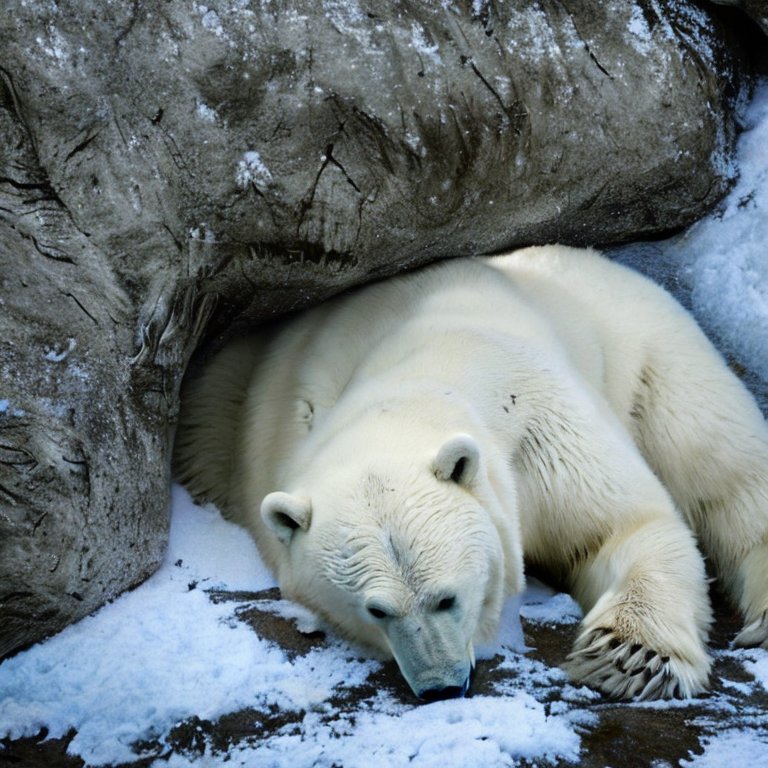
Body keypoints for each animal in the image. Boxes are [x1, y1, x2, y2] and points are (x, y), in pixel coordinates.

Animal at [172, 246, 768, 704]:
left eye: (447, 598)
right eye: (377, 609)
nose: (440, 687)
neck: (426, 365)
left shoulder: (543, 425)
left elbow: (624, 525)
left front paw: (629, 657)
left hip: (647, 346)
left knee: (719, 460)